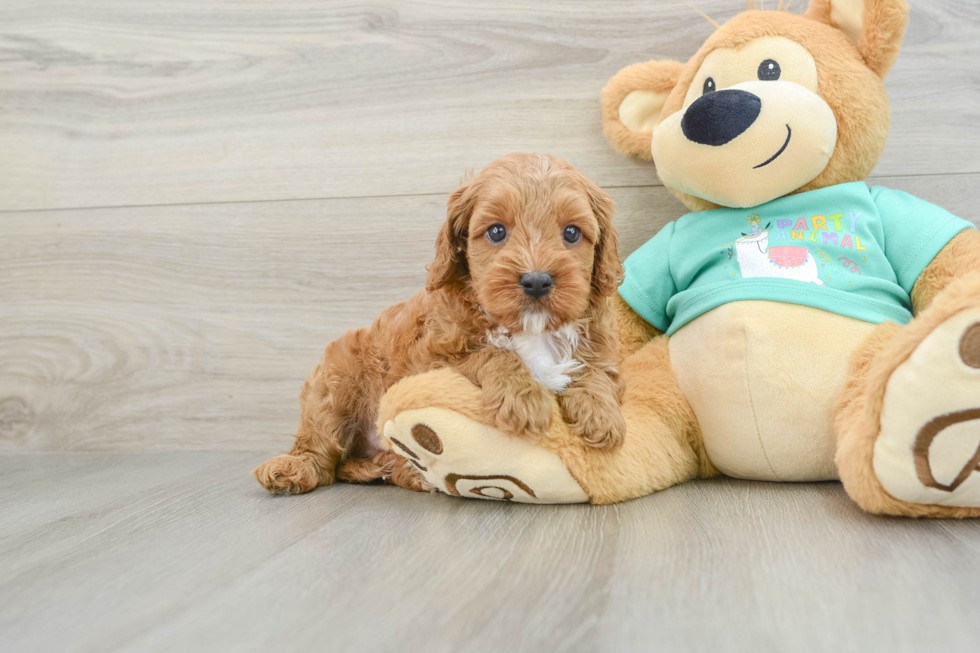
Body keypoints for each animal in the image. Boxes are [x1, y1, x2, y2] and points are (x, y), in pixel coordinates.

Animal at [251, 154, 620, 494]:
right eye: (496, 231)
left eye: (571, 232)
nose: (537, 281)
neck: (530, 330)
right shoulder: (431, 362)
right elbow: (492, 353)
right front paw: (523, 398)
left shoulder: (599, 346)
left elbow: (594, 371)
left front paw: (602, 413)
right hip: (335, 384)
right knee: (322, 450)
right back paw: (292, 468)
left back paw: (397, 470)